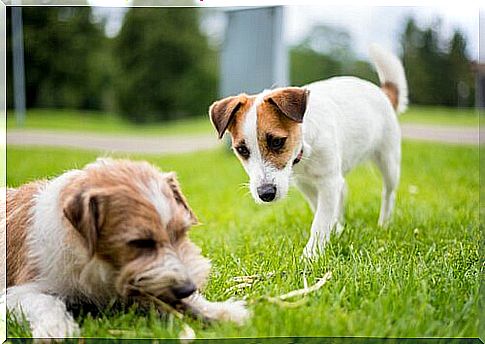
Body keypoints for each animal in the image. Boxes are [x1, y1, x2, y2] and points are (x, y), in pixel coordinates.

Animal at [0, 159, 248, 338]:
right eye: (141, 242)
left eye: (180, 233)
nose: (188, 288)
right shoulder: (17, 293)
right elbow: (47, 303)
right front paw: (57, 329)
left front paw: (221, 311)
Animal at [210, 44, 406, 256]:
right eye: (242, 150)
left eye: (277, 142)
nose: (266, 194)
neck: (304, 150)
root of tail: (382, 92)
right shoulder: (305, 183)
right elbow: (319, 208)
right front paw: (333, 231)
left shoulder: (328, 182)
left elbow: (320, 220)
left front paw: (311, 254)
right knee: (343, 190)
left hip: (389, 161)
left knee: (388, 192)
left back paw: (384, 223)